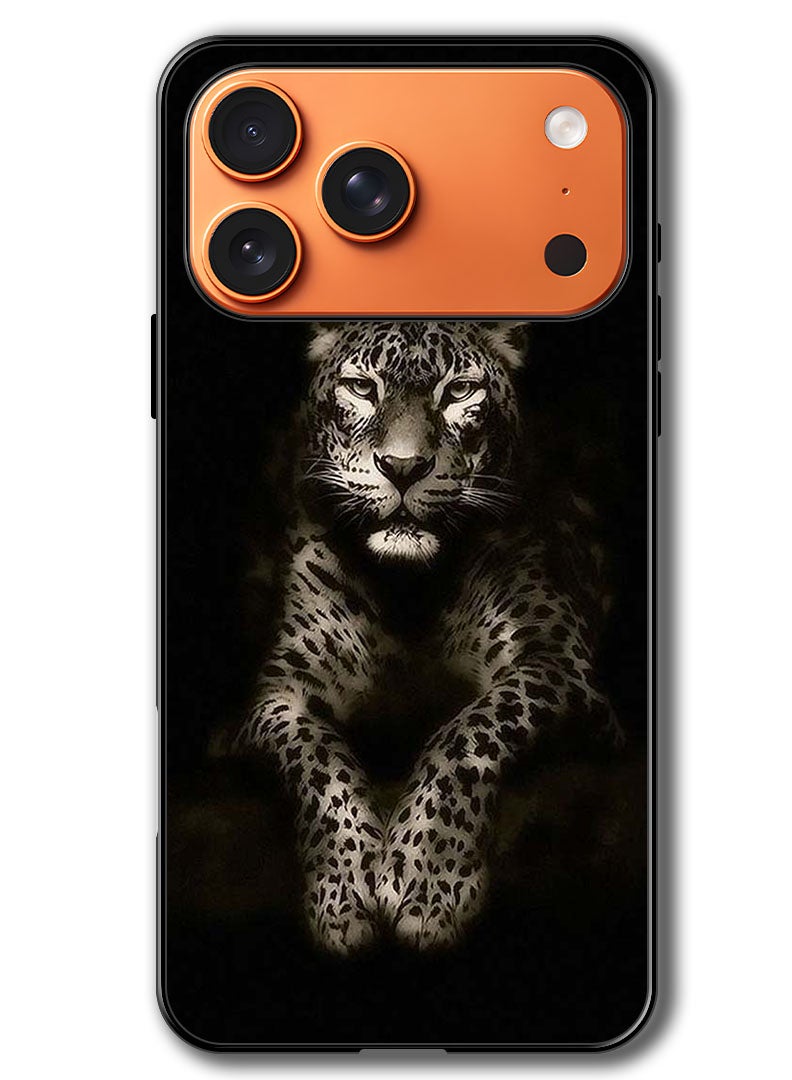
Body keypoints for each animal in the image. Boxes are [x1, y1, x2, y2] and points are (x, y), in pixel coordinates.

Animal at [235, 320, 623, 954]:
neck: (408, 592)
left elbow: (470, 731)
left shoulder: (557, 664)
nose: (402, 466)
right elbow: (318, 760)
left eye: (459, 390)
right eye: (362, 387)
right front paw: (343, 893)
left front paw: (428, 880)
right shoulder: (278, 695)